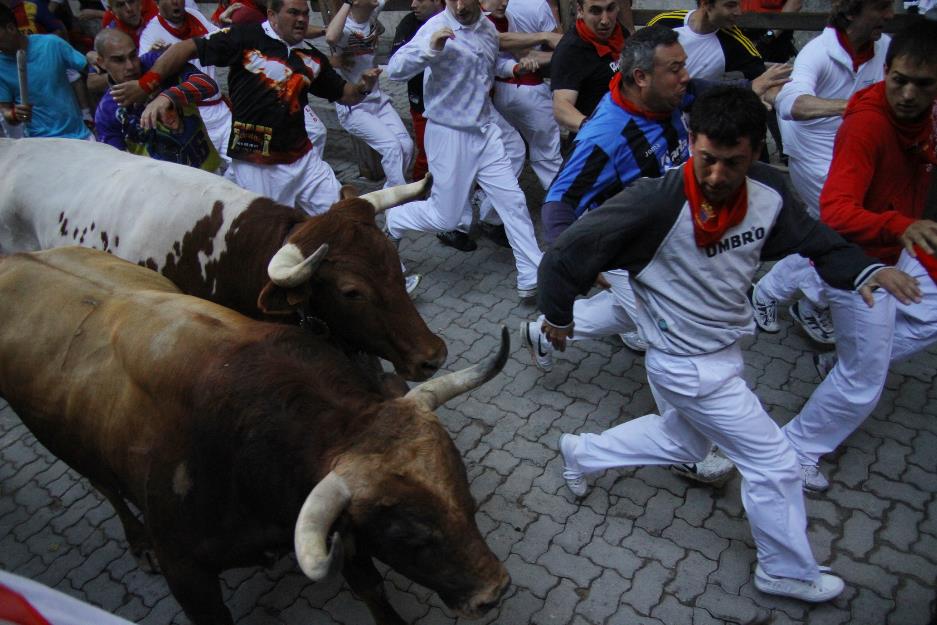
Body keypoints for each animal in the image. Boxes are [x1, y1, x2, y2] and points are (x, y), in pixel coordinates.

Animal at [0, 247, 512, 624]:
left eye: (465, 495)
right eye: (405, 532)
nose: (495, 590)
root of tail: (20, 256)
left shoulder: (332, 523)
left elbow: (371, 588)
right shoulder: (187, 575)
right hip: (68, 447)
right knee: (105, 486)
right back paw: (137, 542)